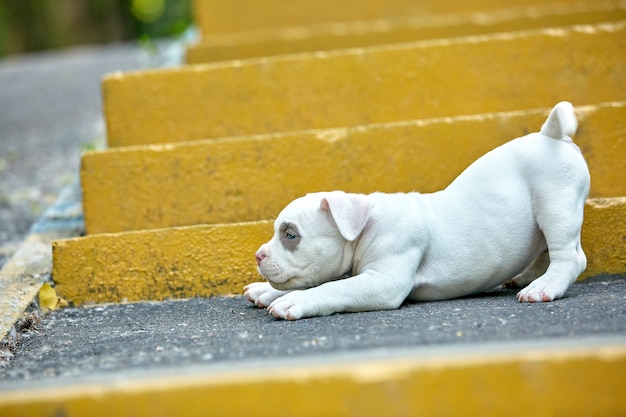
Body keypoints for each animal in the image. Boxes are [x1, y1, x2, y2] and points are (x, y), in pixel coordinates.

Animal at [243, 102, 584, 320]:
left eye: (290, 235)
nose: (258, 255)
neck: (366, 223)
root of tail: (551, 135)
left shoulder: (384, 281)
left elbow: (333, 287)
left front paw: (293, 300)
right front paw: (266, 291)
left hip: (556, 205)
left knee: (569, 255)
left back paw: (543, 287)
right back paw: (526, 277)